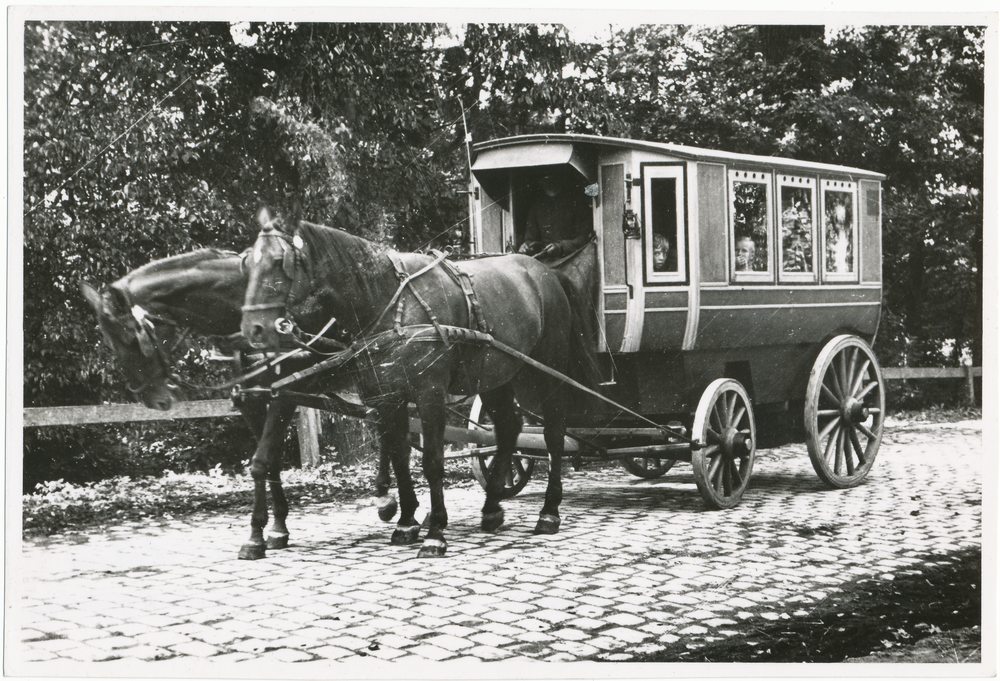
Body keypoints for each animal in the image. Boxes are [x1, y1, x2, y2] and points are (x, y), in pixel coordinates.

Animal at [82, 250, 400, 556]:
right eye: (108, 343)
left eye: (131, 337)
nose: (151, 399)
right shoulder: (251, 398)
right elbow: (271, 462)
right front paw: (278, 527)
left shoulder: (285, 393)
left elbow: (260, 463)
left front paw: (255, 536)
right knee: (385, 424)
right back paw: (386, 497)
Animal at [242, 210, 596, 556]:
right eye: (249, 261)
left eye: (279, 262)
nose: (253, 329)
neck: (390, 303)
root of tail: (544, 271)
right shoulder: (387, 396)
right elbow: (399, 457)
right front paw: (406, 522)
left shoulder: (430, 393)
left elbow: (432, 462)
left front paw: (435, 532)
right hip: (496, 375)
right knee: (509, 428)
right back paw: (492, 507)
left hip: (548, 370)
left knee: (553, 435)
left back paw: (548, 512)